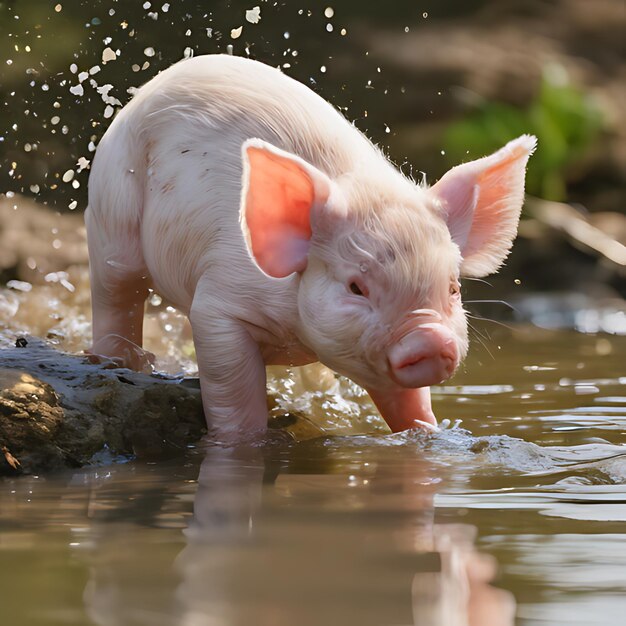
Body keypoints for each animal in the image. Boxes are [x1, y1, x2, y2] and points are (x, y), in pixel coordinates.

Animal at [85, 56, 532, 438]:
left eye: (452, 289)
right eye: (356, 287)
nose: (432, 340)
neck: (296, 336)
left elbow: (408, 402)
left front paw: (429, 435)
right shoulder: (219, 302)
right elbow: (233, 389)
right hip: (112, 211)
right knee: (117, 290)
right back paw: (119, 362)